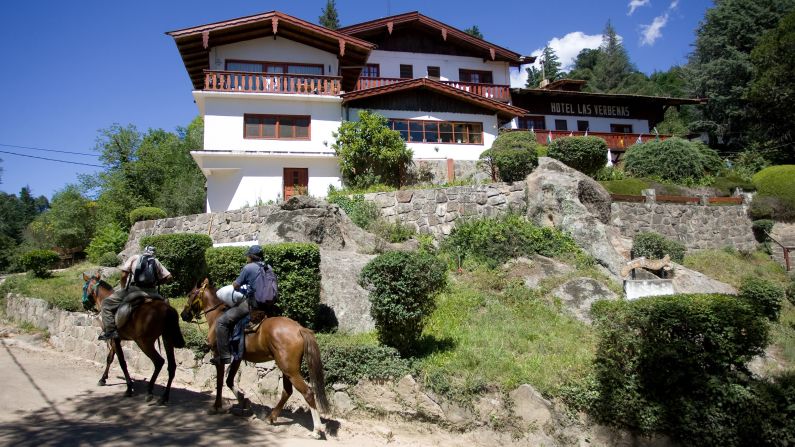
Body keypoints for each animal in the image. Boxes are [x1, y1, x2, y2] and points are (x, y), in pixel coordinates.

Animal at [82, 272, 187, 404]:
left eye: (84, 288)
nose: (83, 304)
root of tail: (167, 310)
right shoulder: (116, 338)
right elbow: (110, 358)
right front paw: (103, 378)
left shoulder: (114, 338)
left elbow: (121, 362)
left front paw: (129, 387)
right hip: (167, 339)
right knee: (172, 366)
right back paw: (164, 397)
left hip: (144, 342)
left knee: (159, 362)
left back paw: (150, 391)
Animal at [181, 278, 330, 440]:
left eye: (190, 294)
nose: (183, 315)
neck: (216, 317)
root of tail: (299, 328)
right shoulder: (237, 357)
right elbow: (229, 380)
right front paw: (243, 401)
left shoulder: (218, 355)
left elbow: (220, 382)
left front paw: (216, 406)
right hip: (287, 368)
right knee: (287, 391)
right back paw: (271, 417)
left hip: (289, 369)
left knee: (307, 393)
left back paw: (316, 430)